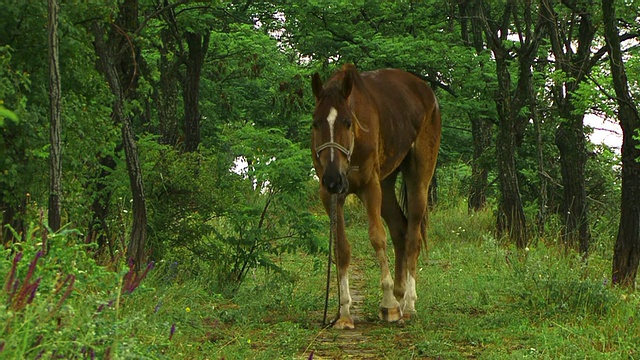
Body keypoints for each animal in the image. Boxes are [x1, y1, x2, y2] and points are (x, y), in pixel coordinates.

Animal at [310, 62, 440, 330]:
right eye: (315, 123)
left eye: (347, 122)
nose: (332, 178)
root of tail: (427, 92)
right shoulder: (330, 195)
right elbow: (341, 249)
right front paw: (344, 312)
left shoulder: (370, 187)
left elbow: (377, 238)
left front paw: (389, 304)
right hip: (387, 185)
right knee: (400, 230)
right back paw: (401, 294)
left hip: (418, 178)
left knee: (412, 236)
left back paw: (407, 304)